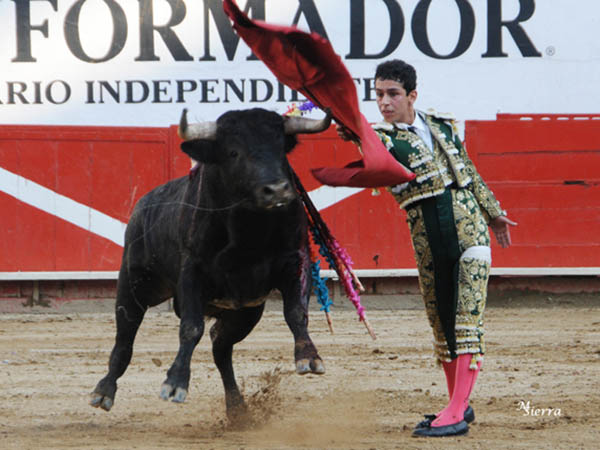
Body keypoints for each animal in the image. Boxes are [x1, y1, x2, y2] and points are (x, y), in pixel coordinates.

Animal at [89, 107, 331, 420]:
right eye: (233, 152)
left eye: (281, 148)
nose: (278, 190)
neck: (251, 227)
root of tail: (142, 205)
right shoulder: (193, 271)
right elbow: (191, 327)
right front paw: (175, 383)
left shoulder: (295, 261)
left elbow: (296, 312)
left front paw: (309, 357)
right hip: (134, 285)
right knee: (124, 338)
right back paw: (104, 392)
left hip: (246, 312)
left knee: (221, 346)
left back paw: (237, 409)